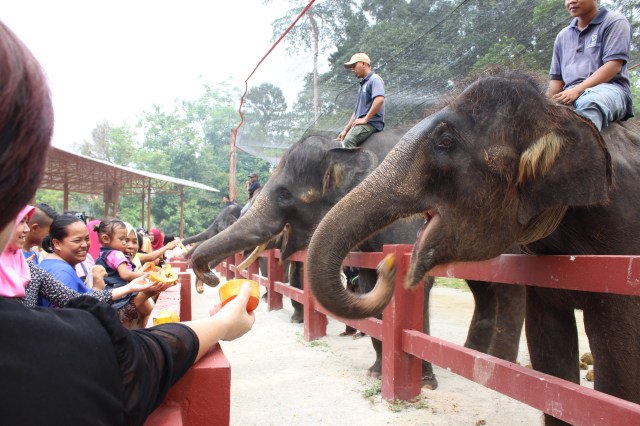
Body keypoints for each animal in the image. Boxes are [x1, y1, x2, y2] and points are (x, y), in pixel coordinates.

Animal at [191, 129, 525, 387]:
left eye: (285, 194)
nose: (208, 278)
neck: (346, 148)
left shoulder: (407, 217)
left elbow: (417, 282)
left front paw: (426, 384)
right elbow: (368, 284)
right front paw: (376, 372)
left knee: (507, 284)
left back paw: (498, 366)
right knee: (484, 286)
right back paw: (478, 358)